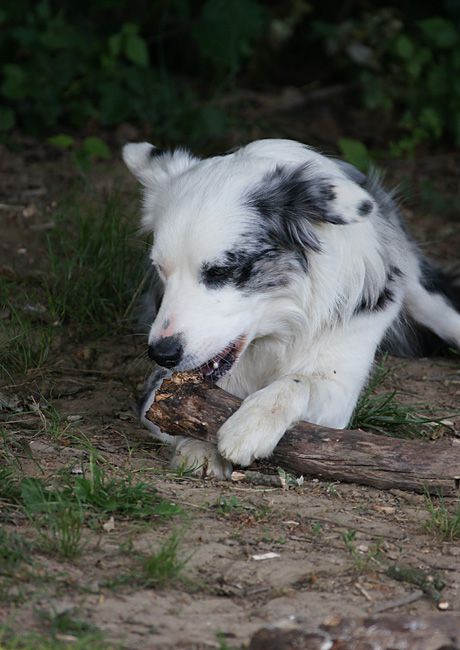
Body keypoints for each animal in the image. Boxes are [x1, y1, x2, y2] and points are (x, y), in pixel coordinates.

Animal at [122, 139, 460, 478]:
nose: (161, 353)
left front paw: (252, 423)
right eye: (161, 269)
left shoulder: (341, 386)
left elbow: (300, 381)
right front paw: (198, 446)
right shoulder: (157, 389)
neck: (279, 329)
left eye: (220, 271)